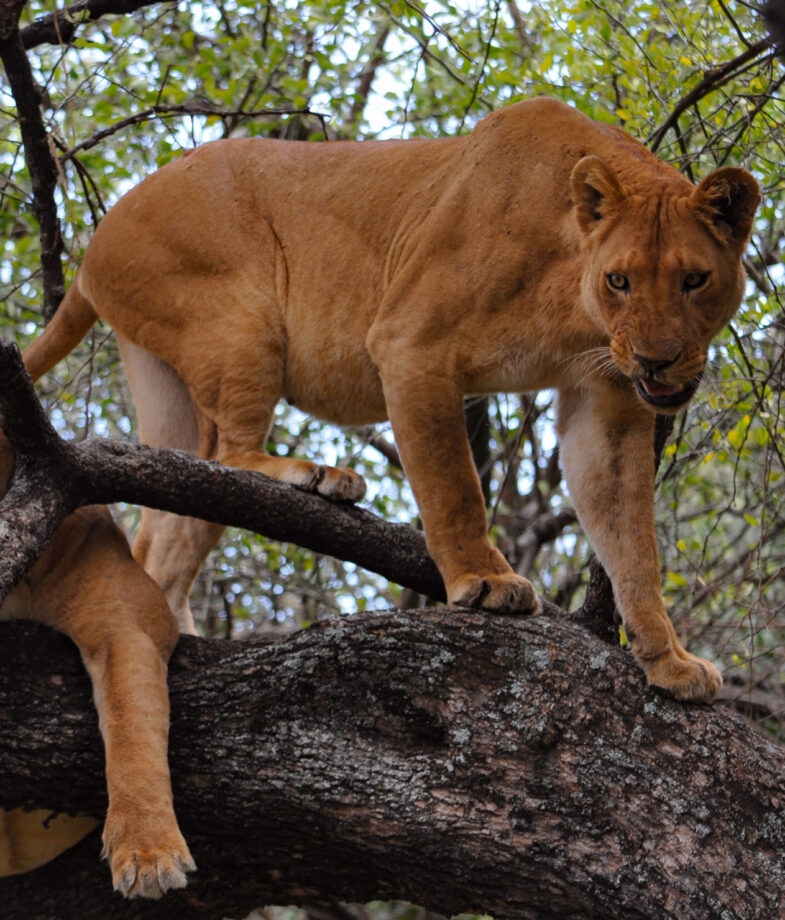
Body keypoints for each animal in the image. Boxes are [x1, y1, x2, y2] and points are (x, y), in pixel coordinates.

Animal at [20, 96, 759, 704]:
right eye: (620, 281)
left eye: (694, 280)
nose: (657, 360)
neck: (573, 298)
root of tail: (93, 245)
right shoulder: (412, 342)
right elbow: (453, 485)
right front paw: (484, 582)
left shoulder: (606, 399)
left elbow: (631, 541)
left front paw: (668, 661)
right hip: (240, 316)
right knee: (230, 453)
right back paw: (316, 475)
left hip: (169, 383)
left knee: (174, 517)